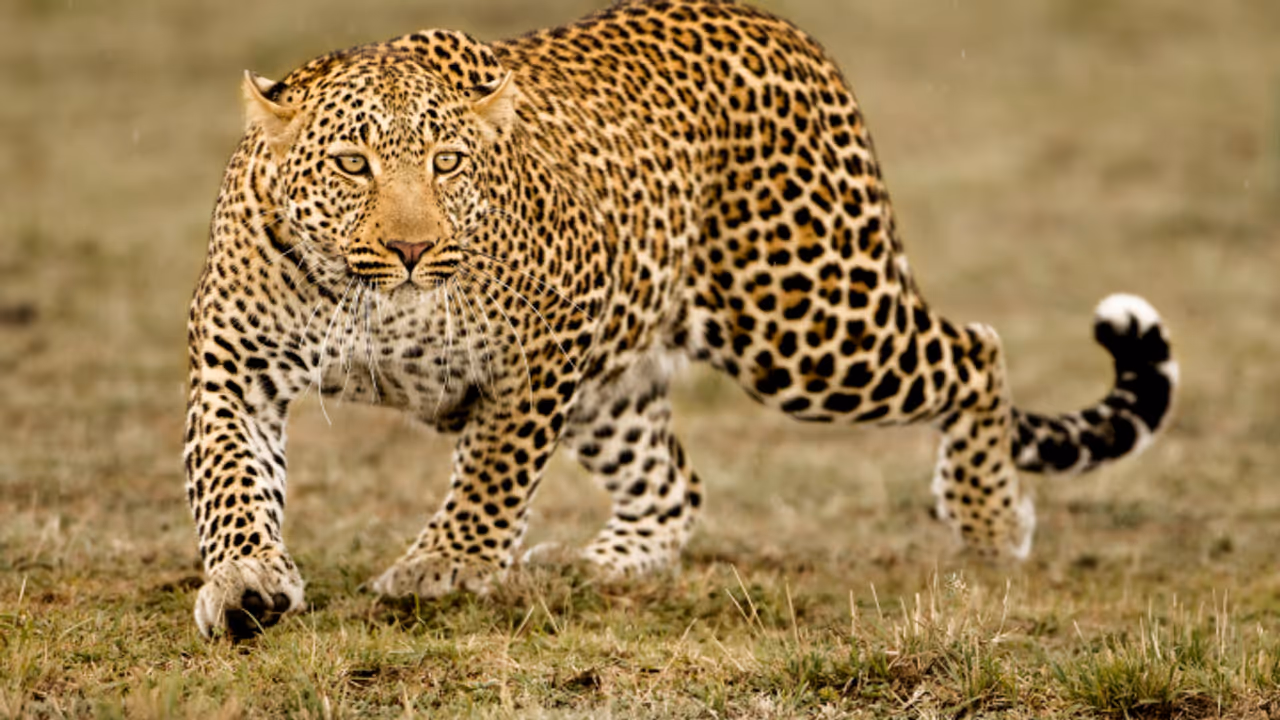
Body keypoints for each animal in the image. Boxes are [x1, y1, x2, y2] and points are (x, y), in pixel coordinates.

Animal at [185, 0, 1178, 639]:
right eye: (352, 164)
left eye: (448, 162)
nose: (411, 248)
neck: (372, 303)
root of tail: (781, 27)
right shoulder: (233, 364)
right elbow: (231, 482)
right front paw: (245, 583)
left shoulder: (547, 342)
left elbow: (494, 472)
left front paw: (447, 566)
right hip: (627, 378)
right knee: (674, 484)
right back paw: (596, 564)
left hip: (809, 322)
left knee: (976, 350)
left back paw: (988, 520)